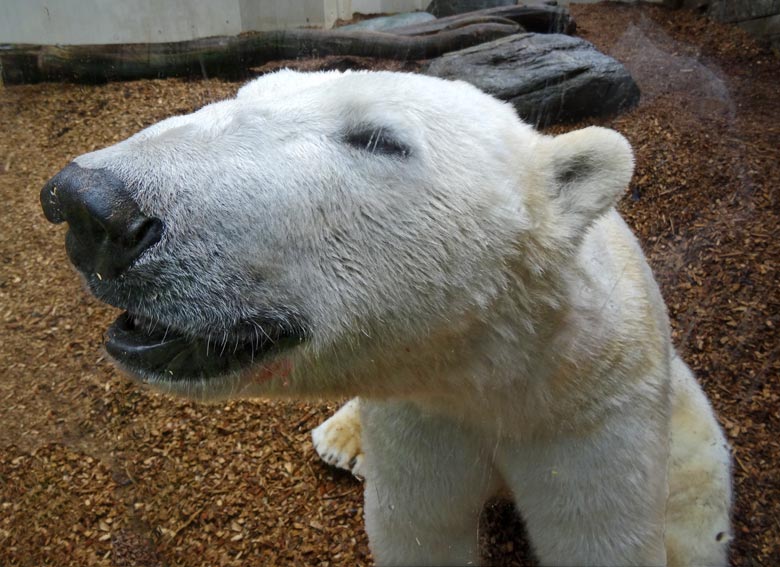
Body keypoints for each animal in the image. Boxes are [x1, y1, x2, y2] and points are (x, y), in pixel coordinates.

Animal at [41, 69, 732, 564]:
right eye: (246, 93)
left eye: (378, 139)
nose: (88, 205)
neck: (489, 369)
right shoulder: (421, 416)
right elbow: (418, 528)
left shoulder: (587, 416)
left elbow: (599, 536)